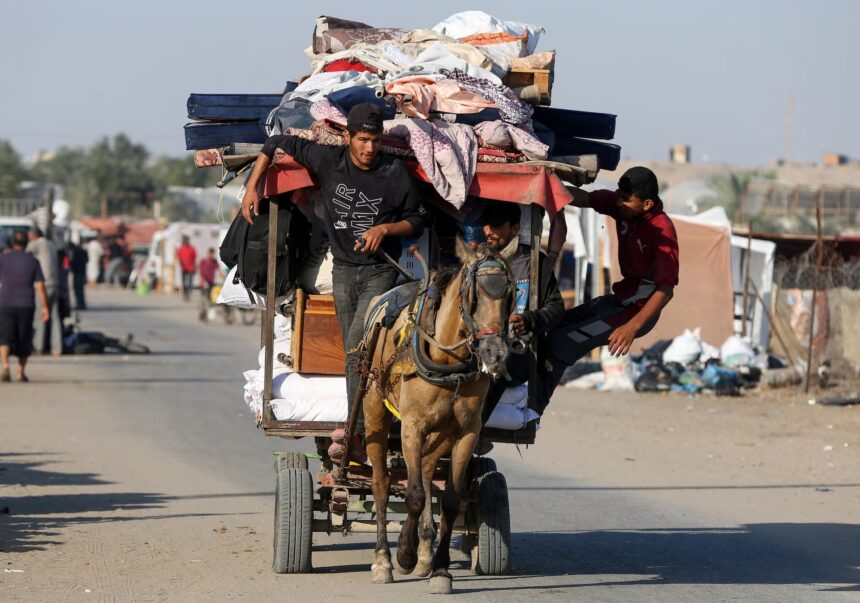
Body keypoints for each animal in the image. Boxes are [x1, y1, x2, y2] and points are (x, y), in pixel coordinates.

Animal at [358, 236, 516, 596]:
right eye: (474, 295)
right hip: (374, 410)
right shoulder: (412, 426)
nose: (495, 355)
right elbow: (414, 495)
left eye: (511, 293)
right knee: (382, 483)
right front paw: (403, 553)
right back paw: (383, 559)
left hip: (442, 430)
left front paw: (440, 568)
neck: (448, 361)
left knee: (429, 469)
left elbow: (452, 499)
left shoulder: (467, 431)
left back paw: (425, 551)